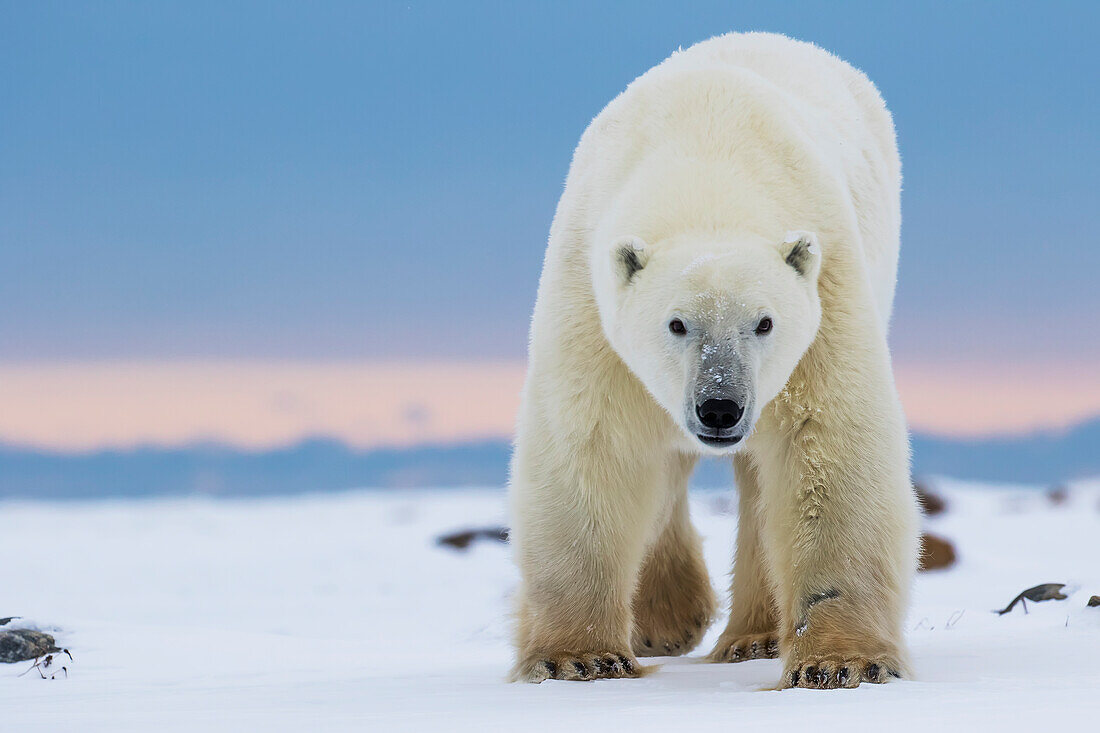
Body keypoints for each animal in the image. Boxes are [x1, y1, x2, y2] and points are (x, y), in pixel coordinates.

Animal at [506, 32, 919, 686]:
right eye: (676, 323)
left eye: (764, 322)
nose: (720, 407)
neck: (707, 165)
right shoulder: (589, 296)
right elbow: (590, 445)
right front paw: (580, 657)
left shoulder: (828, 293)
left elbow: (829, 444)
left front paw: (838, 662)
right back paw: (665, 620)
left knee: (759, 484)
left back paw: (751, 637)